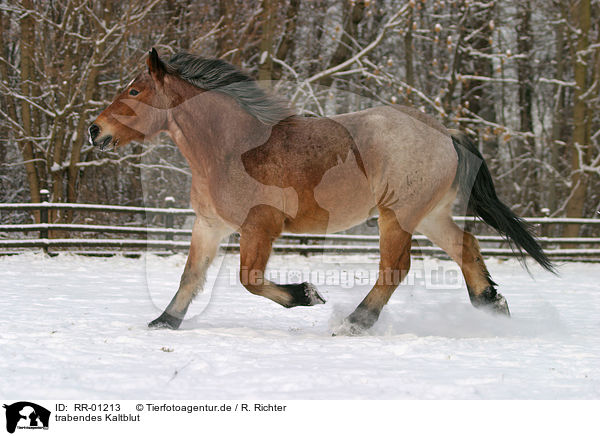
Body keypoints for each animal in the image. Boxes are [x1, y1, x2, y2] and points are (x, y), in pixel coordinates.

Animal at [89, 48, 552, 334]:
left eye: (134, 90)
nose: (95, 130)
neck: (232, 148)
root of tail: (445, 133)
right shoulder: (210, 225)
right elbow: (190, 277)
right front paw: (164, 322)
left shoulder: (260, 226)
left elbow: (249, 279)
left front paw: (307, 294)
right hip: (430, 215)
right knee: (466, 247)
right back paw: (492, 307)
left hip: (398, 215)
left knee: (395, 268)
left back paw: (355, 322)